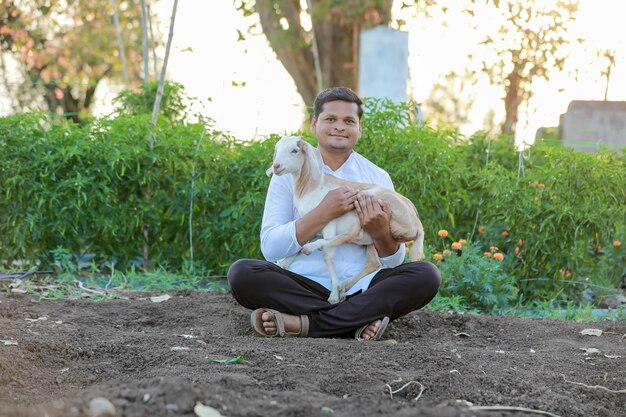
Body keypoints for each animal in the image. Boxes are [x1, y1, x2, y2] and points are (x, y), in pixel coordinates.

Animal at [268, 136, 424, 302]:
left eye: (295, 150)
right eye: (277, 150)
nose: (276, 166)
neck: (312, 187)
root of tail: (416, 223)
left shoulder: (329, 221)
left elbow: (328, 256)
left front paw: (333, 295)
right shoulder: (313, 225)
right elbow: (297, 243)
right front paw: (282, 264)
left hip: (365, 205)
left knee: (353, 235)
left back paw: (315, 255)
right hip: (374, 237)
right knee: (373, 263)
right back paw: (344, 287)